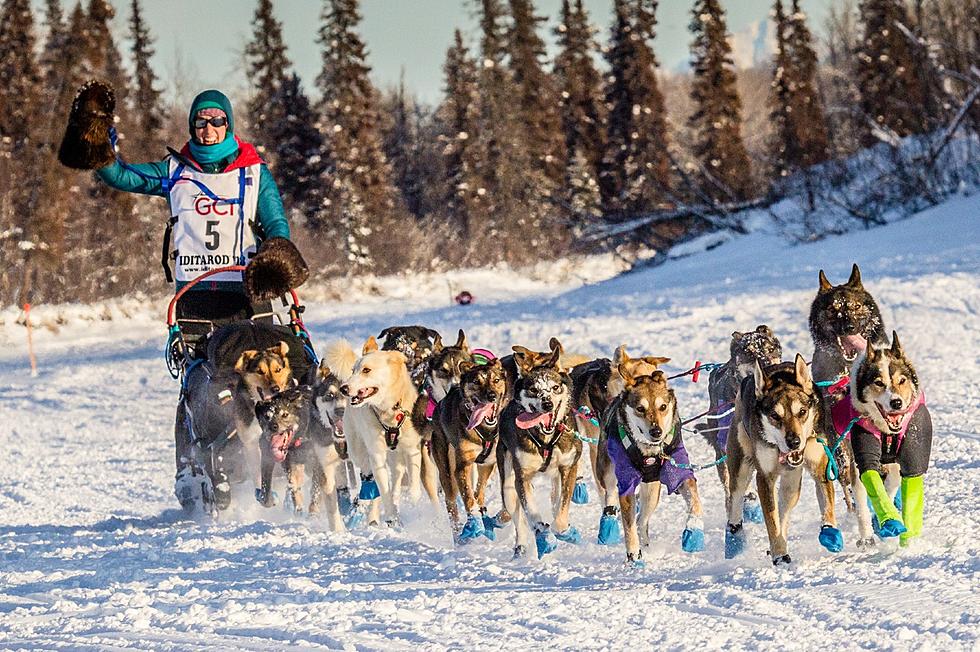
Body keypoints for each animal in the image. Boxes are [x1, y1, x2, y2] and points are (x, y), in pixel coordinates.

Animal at [432, 356, 510, 540]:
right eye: (476, 382)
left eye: (496, 380)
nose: (491, 395)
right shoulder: (462, 466)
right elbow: (468, 497)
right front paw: (474, 523)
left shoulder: (492, 462)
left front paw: (499, 518)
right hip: (446, 470)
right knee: (451, 504)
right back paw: (459, 536)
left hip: (484, 466)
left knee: (479, 492)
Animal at [494, 338, 580, 556]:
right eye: (533, 389)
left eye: (555, 387)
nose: (547, 404)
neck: (546, 440)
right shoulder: (522, 476)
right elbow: (530, 512)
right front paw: (542, 530)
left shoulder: (568, 467)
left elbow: (562, 511)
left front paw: (565, 531)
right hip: (507, 484)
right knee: (517, 516)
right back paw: (522, 546)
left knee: (556, 499)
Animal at [596, 366, 704, 564]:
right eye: (640, 408)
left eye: (663, 407)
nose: (656, 431)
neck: (650, 452)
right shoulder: (627, 482)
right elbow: (628, 525)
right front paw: (633, 555)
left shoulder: (679, 472)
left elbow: (695, 502)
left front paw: (694, 533)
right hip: (607, 470)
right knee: (611, 495)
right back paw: (608, 524)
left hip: (652, 491)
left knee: (641, 519)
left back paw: (645, 543)